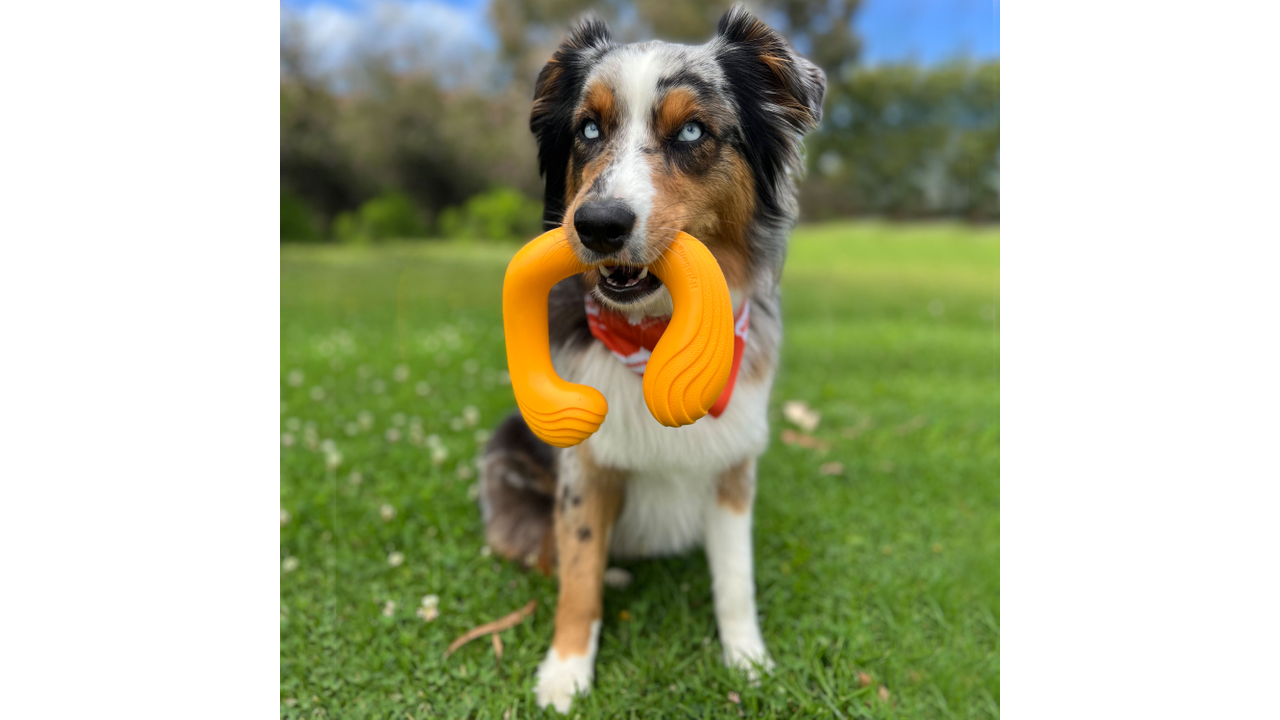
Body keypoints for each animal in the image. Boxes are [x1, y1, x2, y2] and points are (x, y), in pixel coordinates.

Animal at [476, 7, 824, 712]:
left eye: (691, 130)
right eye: (588, 129)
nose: (597, 224)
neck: (659, 334)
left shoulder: (733, 465)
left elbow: (736, 580)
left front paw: (749, 662)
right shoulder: (585, 469)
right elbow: (578, 569)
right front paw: (566, 671)